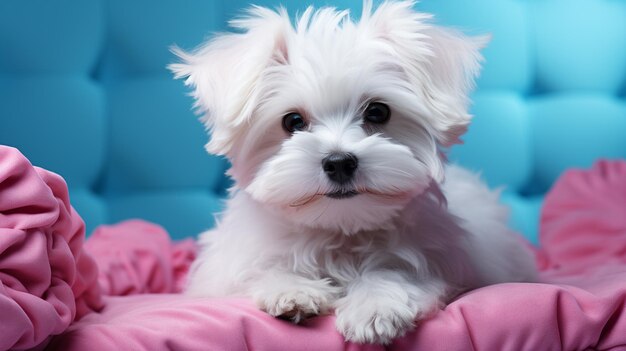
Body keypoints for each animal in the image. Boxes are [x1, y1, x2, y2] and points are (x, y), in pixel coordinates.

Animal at [171, 0, 536, 346]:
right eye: (292, 121)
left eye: (377, 112)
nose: (339, 162)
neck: (340, 230)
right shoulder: (228, 270)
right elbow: (260, 271)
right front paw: (292, 289)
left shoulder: (436, 259)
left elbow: (396, 272)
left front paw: (375, 306)